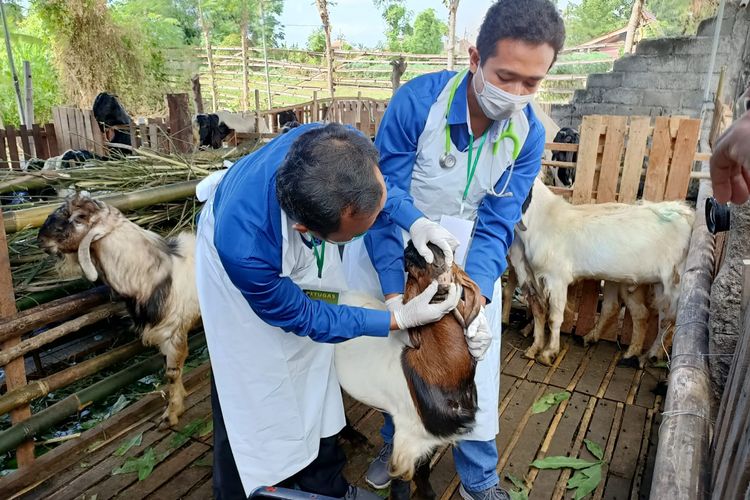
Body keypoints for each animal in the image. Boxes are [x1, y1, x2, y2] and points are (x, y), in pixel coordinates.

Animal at [36, 193, 201, 428]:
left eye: (78, 218)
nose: (40, 239)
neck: (153, 274)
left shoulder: (173, 333)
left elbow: (171, 373)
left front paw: (171, 414)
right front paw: (181, 397)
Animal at [516, 179, 696, 364]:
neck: (543, 218)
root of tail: (685, 214)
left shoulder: (557, 277)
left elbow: (554, 318)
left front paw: (548, 353)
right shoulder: (535, 278)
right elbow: (539, 311)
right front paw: (535, 348)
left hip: (675, 280)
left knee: (670, 318)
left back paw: (651, 354)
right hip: (655, 283)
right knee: (651, 315)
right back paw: (630, 353)